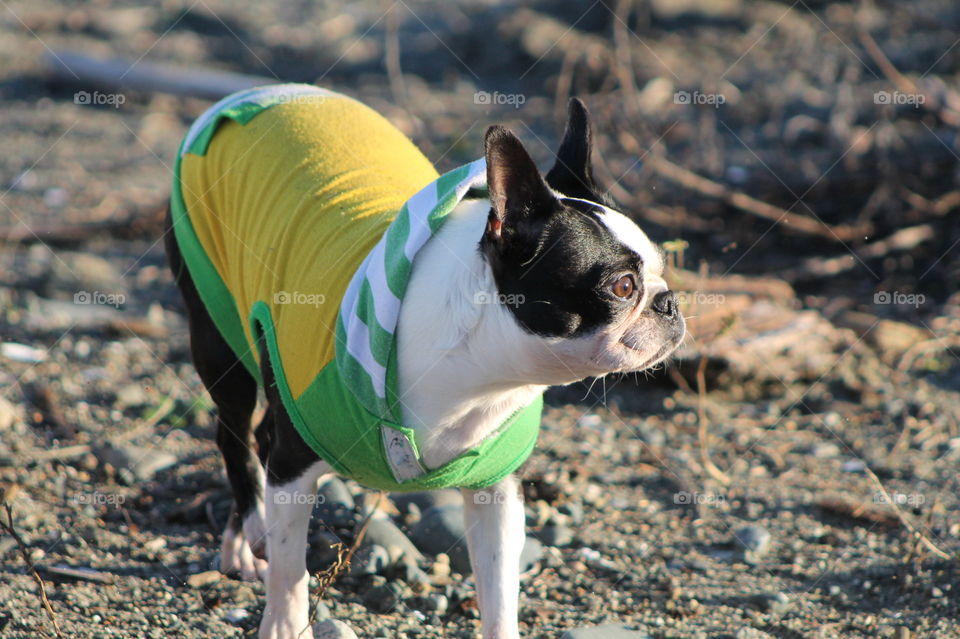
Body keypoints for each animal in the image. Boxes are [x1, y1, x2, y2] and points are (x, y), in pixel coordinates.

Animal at [165, 86, 688, 639]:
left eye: (661, 268)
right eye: (622, 287)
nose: (669, 302)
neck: (481, 376)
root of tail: (258, 93)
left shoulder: (497, 494)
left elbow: (499, 588)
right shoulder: (293, 463)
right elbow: (289, 573)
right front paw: (284, 626)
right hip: (218, 331)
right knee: (237, 434)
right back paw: (246, 537)